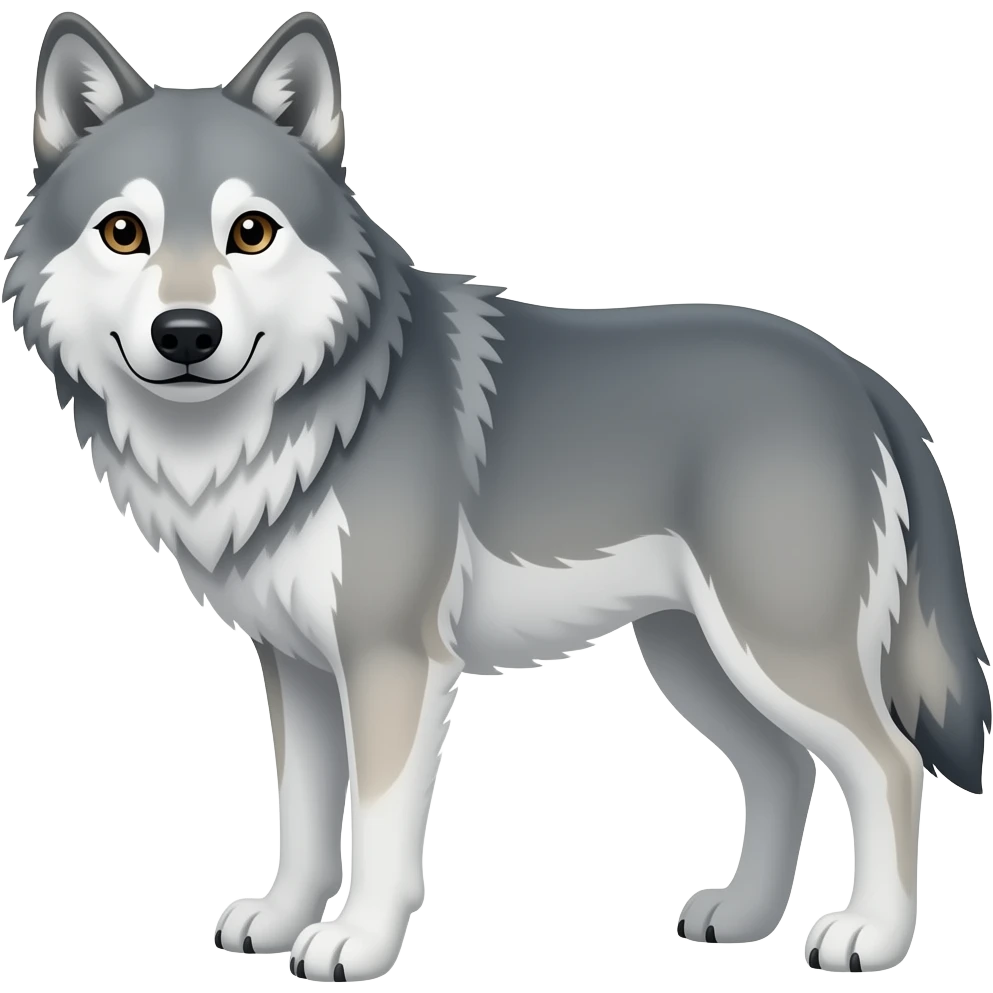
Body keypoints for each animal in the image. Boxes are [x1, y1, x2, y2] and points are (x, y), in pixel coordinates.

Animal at [3, 9, 989, 982]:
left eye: (251, 232)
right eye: (123, 232)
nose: (186, 333)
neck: (299, 420)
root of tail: (858, 375)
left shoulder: (391, 661)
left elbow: (379, 824)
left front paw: (356, 942)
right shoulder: (296, 666)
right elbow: (303, 817)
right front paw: (281, 921)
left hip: (773, 652)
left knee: (889, 766)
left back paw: (869, 935)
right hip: (695, 658)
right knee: (784, 768)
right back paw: (743, 916)